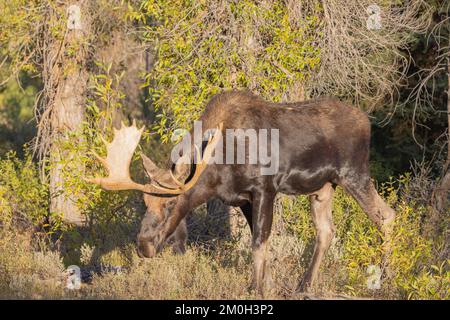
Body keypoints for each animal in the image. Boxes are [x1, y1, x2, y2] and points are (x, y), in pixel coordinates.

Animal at [87, 90, 394, 296]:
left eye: (171, 202)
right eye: (144, 201)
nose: (144, 244)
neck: (218, 169)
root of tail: (367, 121)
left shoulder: (265, 188)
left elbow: (258, 243)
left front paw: (256, 289)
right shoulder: (242, 199)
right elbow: (259, 241)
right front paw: (266, 285)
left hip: (353, 172)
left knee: (386, 216)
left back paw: (383, 278)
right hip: (323, 187)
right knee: (327, 230)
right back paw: (303, 286)